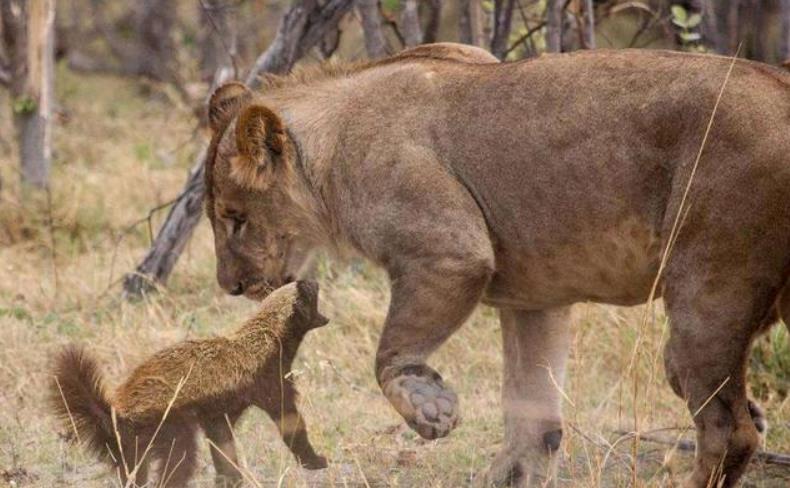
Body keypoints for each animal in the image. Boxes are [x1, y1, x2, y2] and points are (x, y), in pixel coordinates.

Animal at [50, 280, 328, 486]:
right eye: (309, 291)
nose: (314, 280)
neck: (268, 335)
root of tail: (116, 412)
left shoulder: (218, 412)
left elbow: (223, 444)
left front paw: (230, 478)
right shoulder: (269, 379)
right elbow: (289, 421)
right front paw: (316, 461)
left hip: (132, 447)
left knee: (134, 473)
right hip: (169, 424)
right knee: (178, 460)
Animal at [201, 43, 788, 488]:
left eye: (234, 219)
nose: (230, 286)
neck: (328, 152)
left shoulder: (451, 251)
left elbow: (390, 353)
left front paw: (429, 408)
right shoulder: (537, 297)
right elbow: (533, 419)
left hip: (710, 286)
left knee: (726, 428)